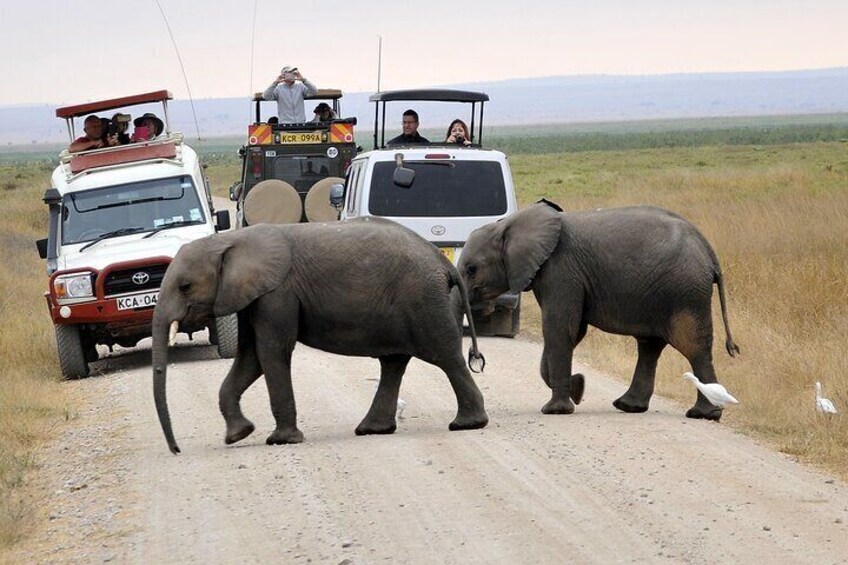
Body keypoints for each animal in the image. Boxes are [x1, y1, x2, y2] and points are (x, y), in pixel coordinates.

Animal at [152, 217, 488, 454]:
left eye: (185, 287)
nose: (176, 450)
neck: (228, 240)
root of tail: (443, 262)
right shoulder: (252, 297)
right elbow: (251, 358)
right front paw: (239, 435)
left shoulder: (277, 293)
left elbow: (272, 351)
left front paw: (281, 440)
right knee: (394, 363)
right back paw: (372, 430)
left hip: (422, 299)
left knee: (445, 356)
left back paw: (467, 424)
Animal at [458, 199, 739, 420]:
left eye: (472, 270)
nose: (477, 359)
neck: (508, 224)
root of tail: (709, 253)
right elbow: (572, 331)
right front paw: (578, 388)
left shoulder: (560, 270)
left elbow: (559, 329)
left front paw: (556, 409)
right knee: (650, 345)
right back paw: (629, 406)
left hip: (684, 292)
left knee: (692, 346)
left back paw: (703, 414)